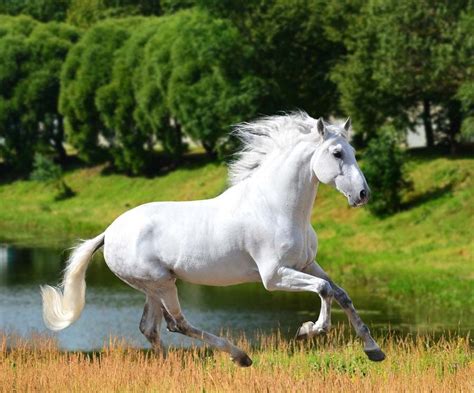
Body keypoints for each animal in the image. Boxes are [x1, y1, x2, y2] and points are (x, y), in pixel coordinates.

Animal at [41, 112, 386, 364]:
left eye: (354, 152)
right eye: (337, 153)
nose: (363, 194)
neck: (277, 207)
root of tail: (108, 233)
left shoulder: (307, 264)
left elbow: (341, 294)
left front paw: (374, 351)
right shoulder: (273, 276)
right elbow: (324, 290)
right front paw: (309, 330)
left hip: (154, 286)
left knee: (151, 327)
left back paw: (170, 368)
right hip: (161, 283)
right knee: (176, 323)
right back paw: (240, 356)